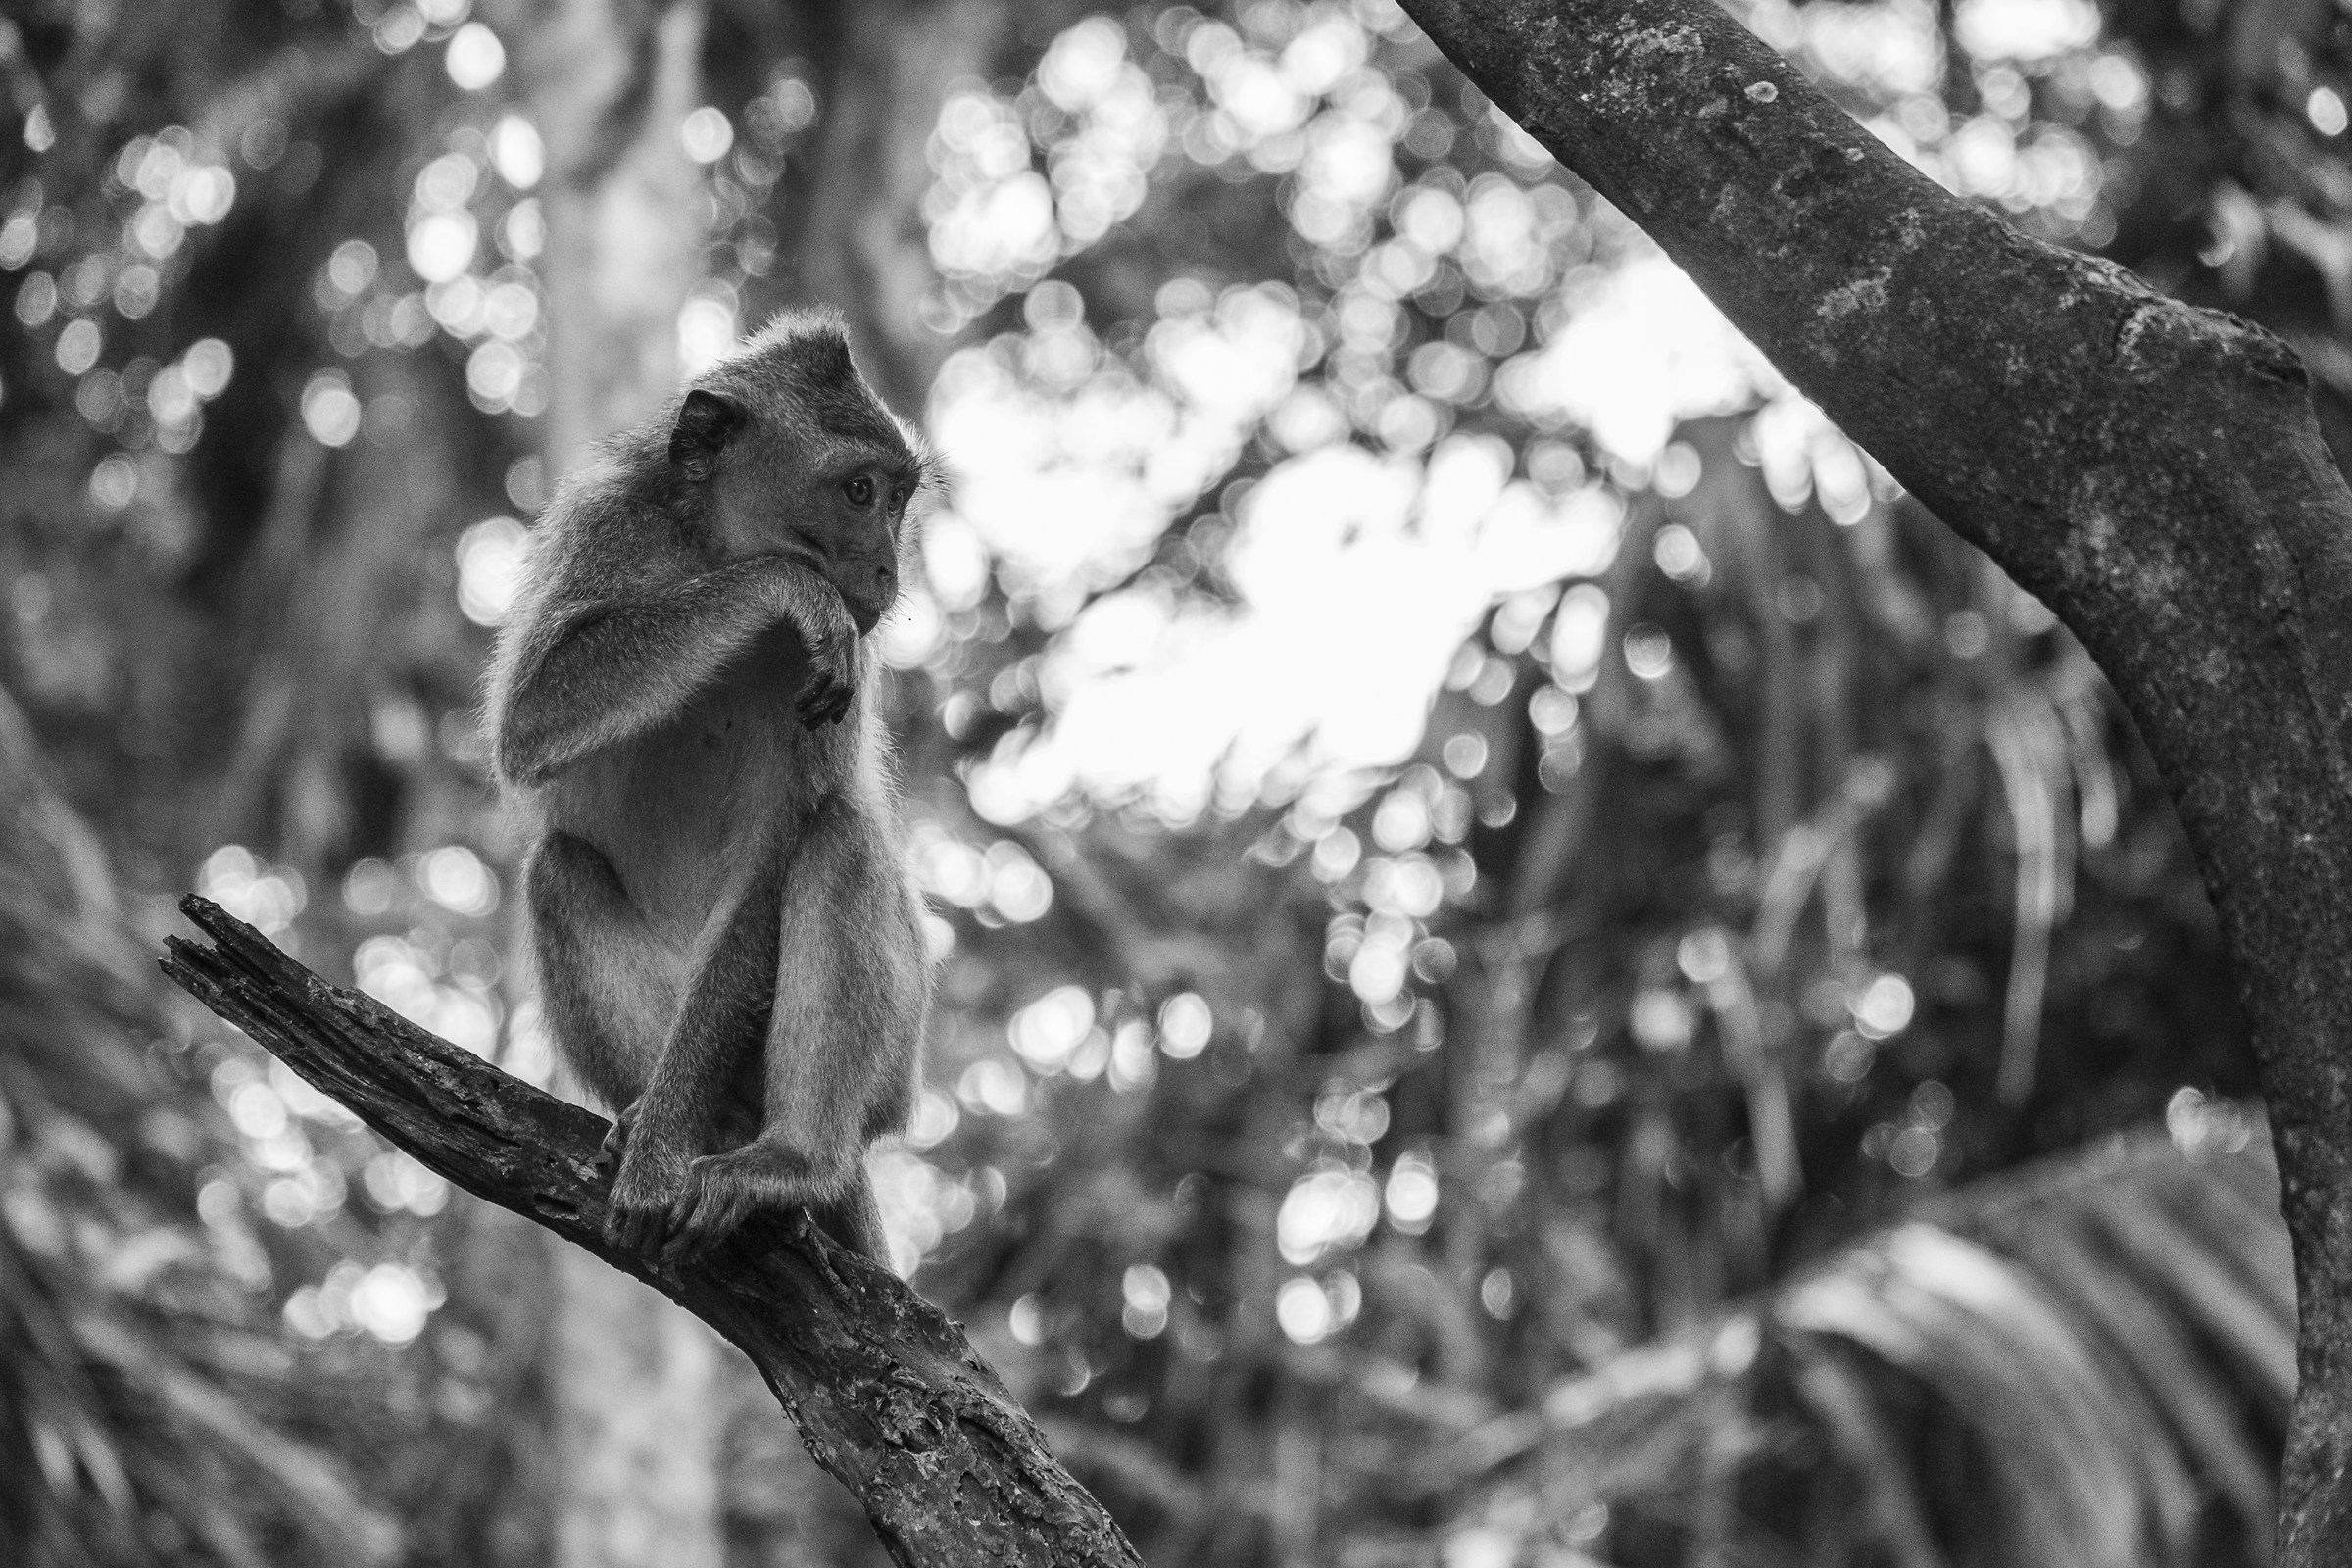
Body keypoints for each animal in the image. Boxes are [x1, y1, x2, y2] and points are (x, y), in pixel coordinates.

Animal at [483, 310, 932, 1266]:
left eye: (898, 500)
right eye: (859, 491)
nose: (887, 572)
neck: (711, 549)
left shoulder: (841, 669)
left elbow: (769, 863)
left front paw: (658, 1157)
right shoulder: (605, 528)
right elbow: (535, 714)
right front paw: (783, 586)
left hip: (893, 1067)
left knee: (837, 840)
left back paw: (793, 1160)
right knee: (560, 868)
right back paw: (683, 1118)